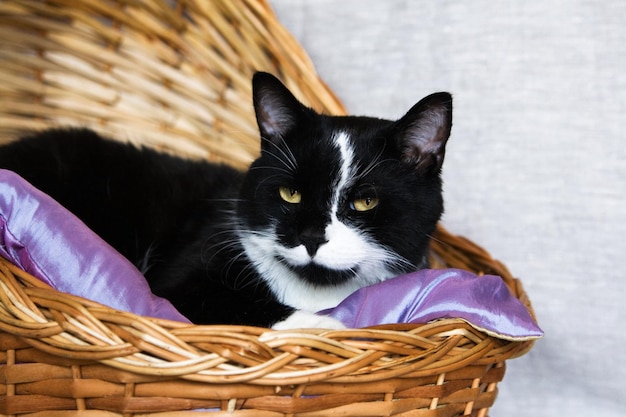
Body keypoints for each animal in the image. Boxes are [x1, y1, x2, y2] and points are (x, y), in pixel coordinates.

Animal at [0, 73, 450, 330]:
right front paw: (330, 330)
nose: (310, 237)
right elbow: (237, 303)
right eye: (290, 193)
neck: (315, 293)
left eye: (365, 202)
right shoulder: (184, 277)